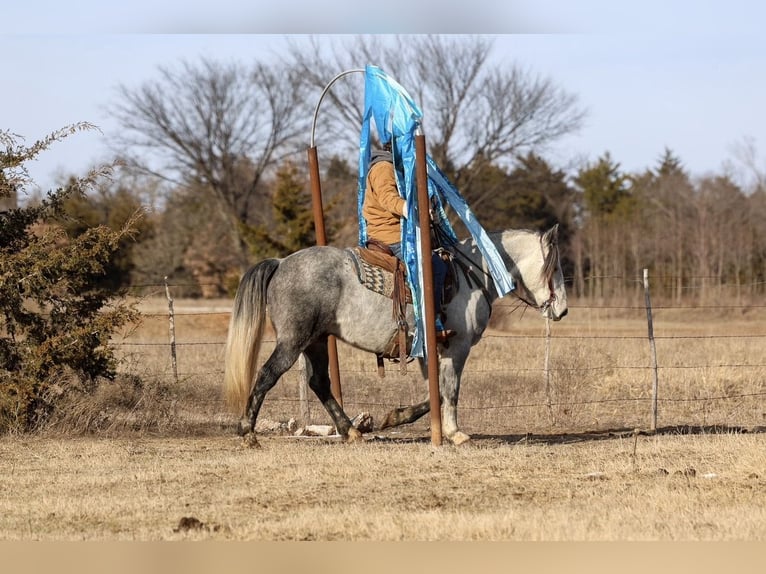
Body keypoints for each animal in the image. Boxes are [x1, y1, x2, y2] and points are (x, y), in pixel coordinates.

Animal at [223, 224, 568, 447]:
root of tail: (281, 263)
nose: (562, 310)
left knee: (319, 382)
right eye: (555, 267)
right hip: (293, 341)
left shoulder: (431, 352)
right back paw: (248, 432)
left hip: (316, 341)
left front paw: (397, 417)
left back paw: (351, 431)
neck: (472, 274)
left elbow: (435, 392)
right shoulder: (457, 347)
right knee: (267, 375)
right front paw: (455, 433)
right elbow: (450, 390)